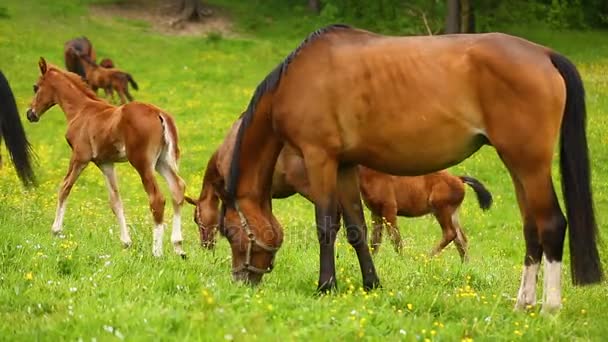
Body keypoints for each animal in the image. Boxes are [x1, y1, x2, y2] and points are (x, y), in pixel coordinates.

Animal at [26, 58, 186, 256]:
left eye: (35, 87)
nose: (30, 114)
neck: (81, 110)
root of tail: (159, 113)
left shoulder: (80, 157)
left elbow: (64, 187)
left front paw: (56, 230)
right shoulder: (106, 163)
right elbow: (115, 201)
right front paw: (126, 242)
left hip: (142, 162)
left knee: (157, 198)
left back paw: (156, 252)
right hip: (162, 162)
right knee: (177, 188)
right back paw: (178, 247)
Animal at [216, 24, 600, 312]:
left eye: (231, 232)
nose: (240, 280)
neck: (300, 78)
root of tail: (544, 55)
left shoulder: (319, 158)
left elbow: (326, 225)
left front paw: (326, 286)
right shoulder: (345, 165)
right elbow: (357, 228)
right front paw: (371, 284)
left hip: (528, 163)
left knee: (551, 224)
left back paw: (550, 308)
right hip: (518, 165)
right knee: (531, 228)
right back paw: (523, 303)